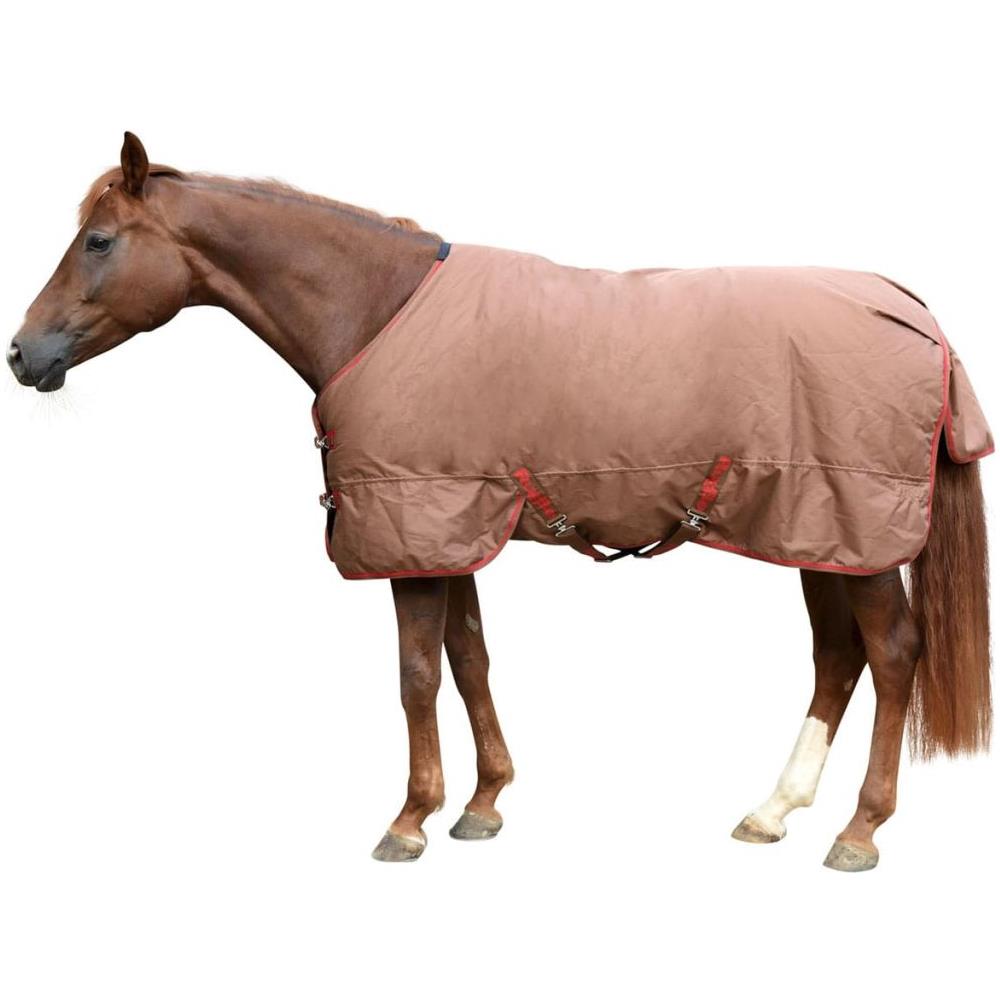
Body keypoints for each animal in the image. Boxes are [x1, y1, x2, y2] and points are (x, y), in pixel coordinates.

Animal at [9, 133, 992, 871]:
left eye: (98, 241)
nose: (23, 353)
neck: (378, 311)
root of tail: (915, 312)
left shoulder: (415, 533)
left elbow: (415, 674)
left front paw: (410, 820)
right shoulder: (452, 530)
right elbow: (470, 659)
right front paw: (483, 804)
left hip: (854, 533)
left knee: (892, 655)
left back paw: (859, 831)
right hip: (817, 532)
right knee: (839, 658)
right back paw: (773, 810)